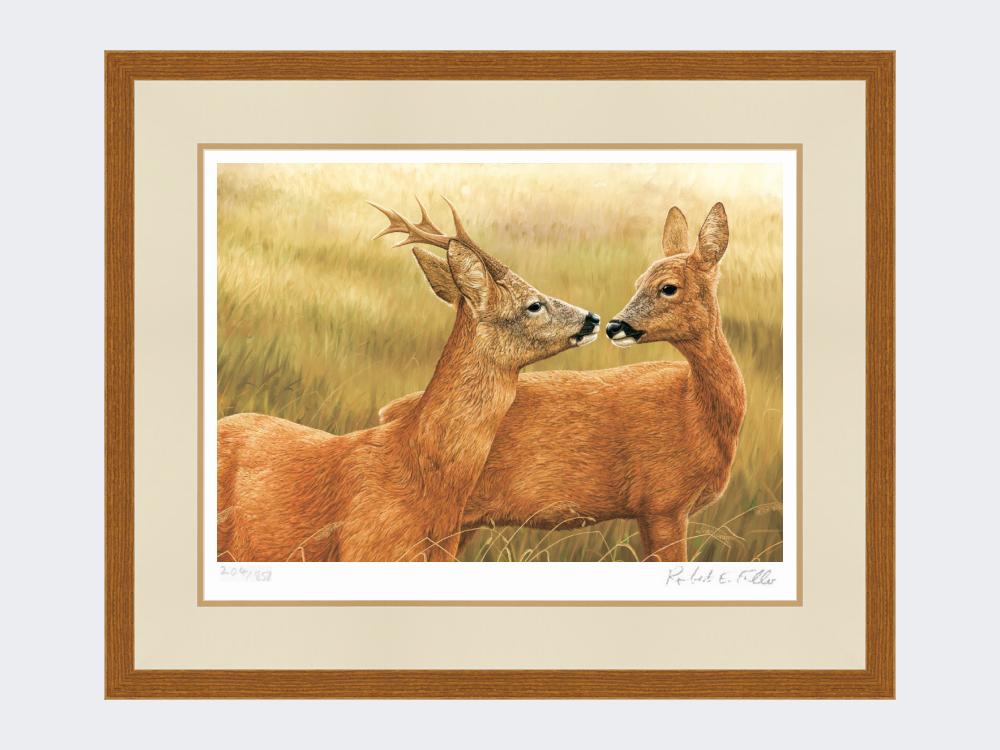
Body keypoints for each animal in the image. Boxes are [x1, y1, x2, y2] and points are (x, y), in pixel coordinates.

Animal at [378, 203, 746, 561]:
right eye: (639, 282)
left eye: (667, 287)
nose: (613, 325)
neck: (693, 406)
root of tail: (389, 414)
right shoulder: (661, 501)